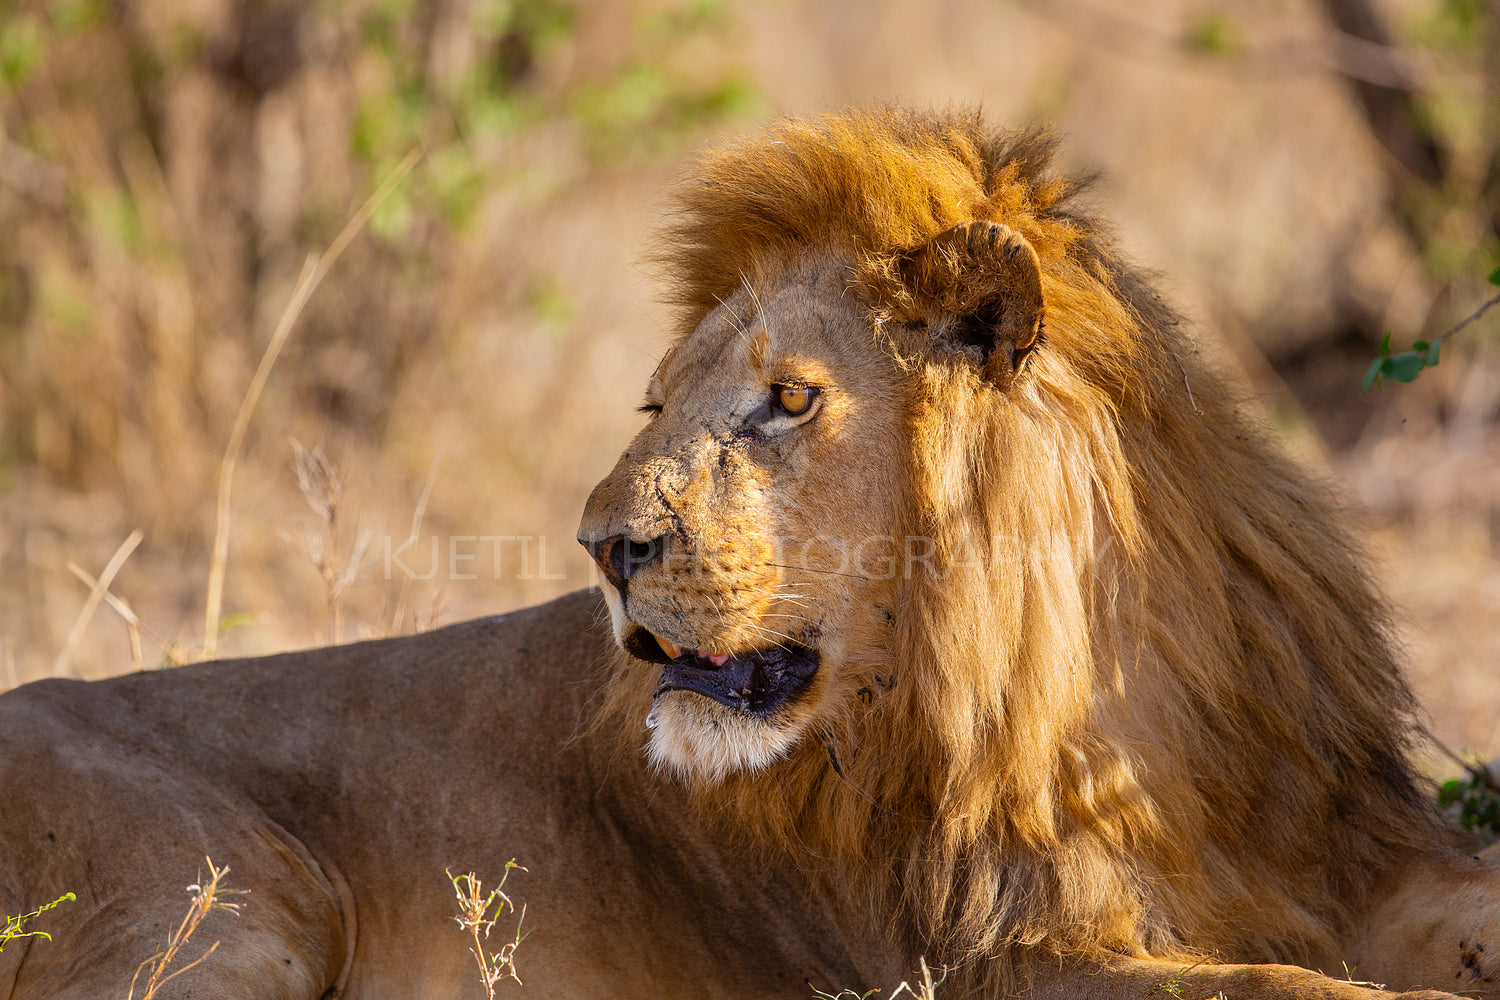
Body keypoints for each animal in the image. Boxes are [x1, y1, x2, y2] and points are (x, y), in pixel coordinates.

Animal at [2, 103, 1500, 1000]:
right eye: (657, 404)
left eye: (786, 400)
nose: (604, 546)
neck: (1094, 688)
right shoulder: (993, 954)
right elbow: (1284, 985)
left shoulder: (1341, 850)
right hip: (225, 907)